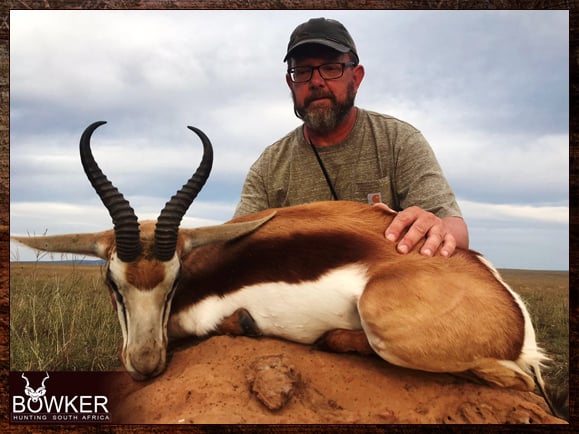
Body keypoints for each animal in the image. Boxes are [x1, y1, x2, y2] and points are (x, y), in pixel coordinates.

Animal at [12, 121, 560, 418]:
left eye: (174, 281)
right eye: (112, 282)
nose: (146, 365)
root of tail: (511, 311)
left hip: (385, 321)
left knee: (512, 380)